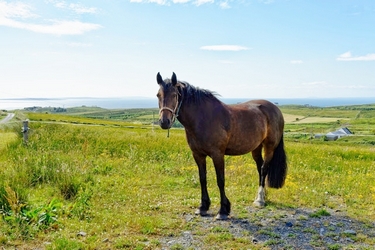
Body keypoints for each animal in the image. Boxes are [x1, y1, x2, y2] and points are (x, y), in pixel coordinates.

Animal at [156, 72, 288, 219]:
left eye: (174, 95)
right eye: (158, 95)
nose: (164, 122)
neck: (203, 118)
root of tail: (275, 109)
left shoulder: (217, 155)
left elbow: (220, 180)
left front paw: (223, 210)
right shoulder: (198, 155)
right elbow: (202, 179)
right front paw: (203, 207)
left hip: (269, 147)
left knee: (264, 169)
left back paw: (260, 199)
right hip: (256, 148)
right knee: (260, 168)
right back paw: (262, 196)